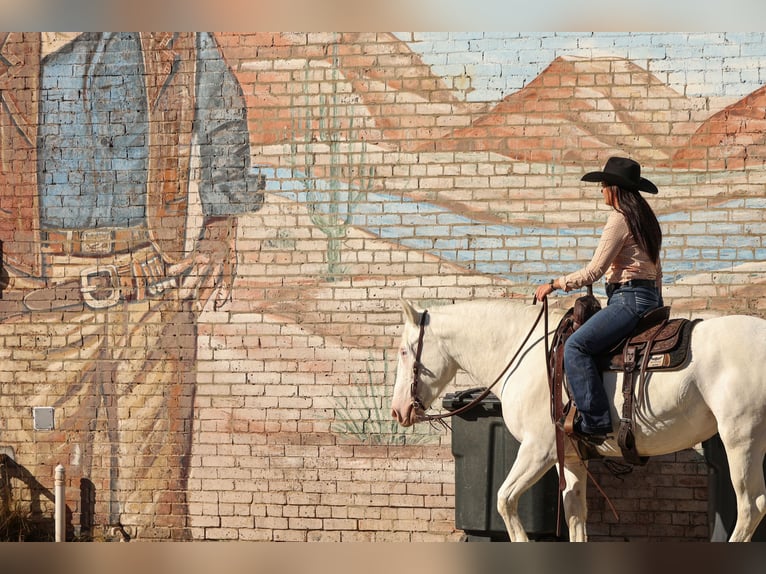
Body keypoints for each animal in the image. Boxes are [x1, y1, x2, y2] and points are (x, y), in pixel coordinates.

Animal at [392, 302, 766, 544]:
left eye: (404, 351)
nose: (397, 411)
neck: (525, 355)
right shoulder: (569, 457)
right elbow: (574, 515)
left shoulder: (538, 450)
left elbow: (504, 499)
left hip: (741, 440)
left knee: (750, 507)